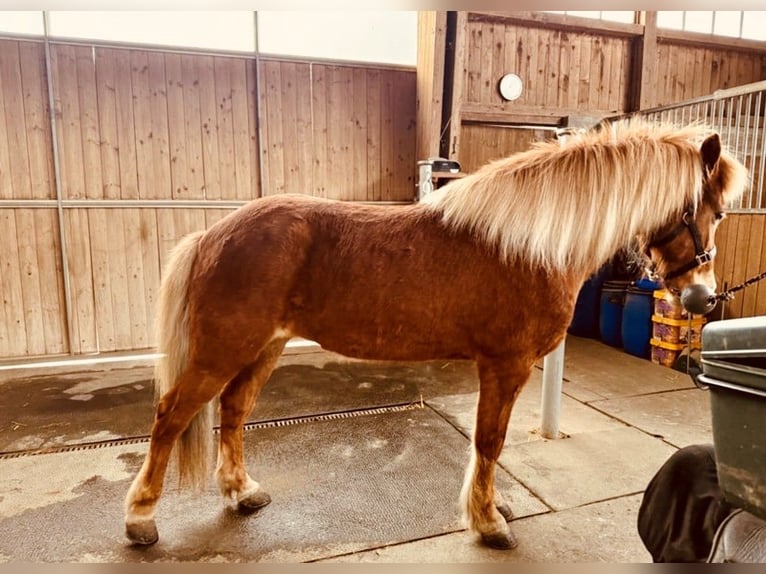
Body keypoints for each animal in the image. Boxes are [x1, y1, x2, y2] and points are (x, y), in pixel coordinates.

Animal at [124, 119, 748, 550]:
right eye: (714, 212)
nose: (702, 297)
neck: (529, 243)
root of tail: (213, 234)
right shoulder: (505, 365)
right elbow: (489, 442)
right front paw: (489, 523)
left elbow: (488, 443)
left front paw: (489, 512)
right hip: (221, 352)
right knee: (171, 417)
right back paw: (140, 520)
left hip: (262, 349)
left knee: (233, 411)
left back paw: (242, 492)